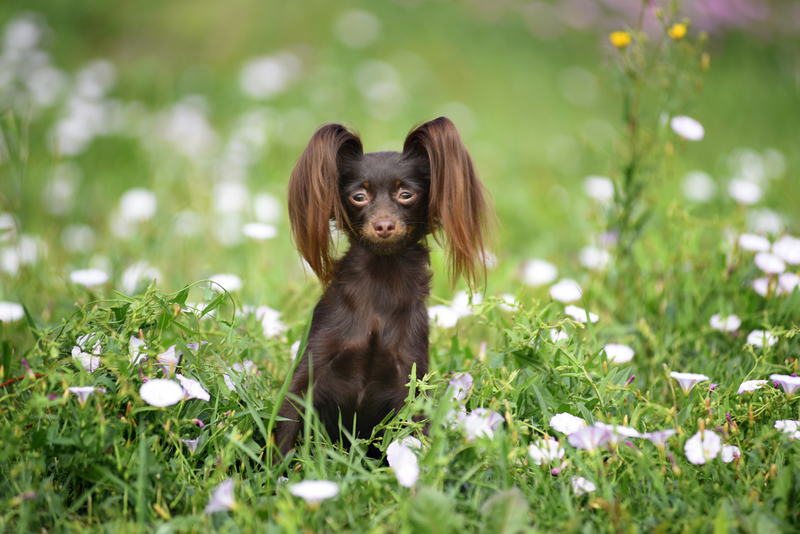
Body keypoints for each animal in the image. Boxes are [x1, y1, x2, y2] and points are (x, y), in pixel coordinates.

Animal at [276, 117, 494, 460]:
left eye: (406, 194)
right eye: (358, 197)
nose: (384, 226)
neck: (382, 276)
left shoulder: (409, 381)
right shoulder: (306, 376)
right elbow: (284, 433)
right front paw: (275, 471)